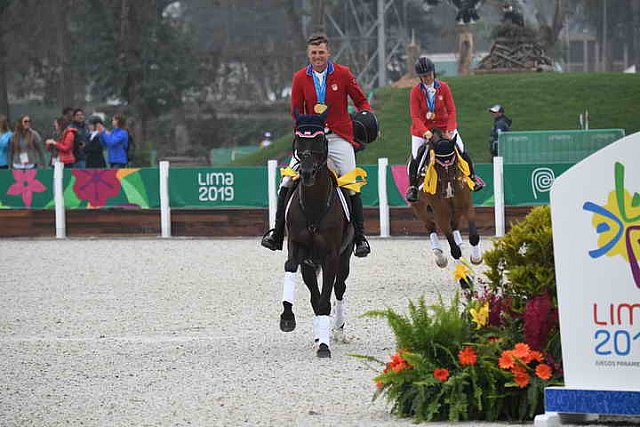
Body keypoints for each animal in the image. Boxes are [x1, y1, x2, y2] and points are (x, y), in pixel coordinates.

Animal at [280, 113, 356, 358]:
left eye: (320, 139)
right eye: (298, 139)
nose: (306, 173)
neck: (314, 206)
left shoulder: (331, 256)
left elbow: (325, 300)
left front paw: (324, 346)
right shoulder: (299, 250)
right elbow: (291, 268)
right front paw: (287, 318)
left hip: (344, 257)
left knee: (339, 289)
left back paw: (338, 331)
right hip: (310, 265)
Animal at [410, 134, 480, 268]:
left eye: (454, 164)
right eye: (437, 166)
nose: (448, 191)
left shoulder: (466, 205)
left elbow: (474, 236)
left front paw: (476, 258)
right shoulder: (441, 213)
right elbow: (454, 249)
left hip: (456, 210)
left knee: (454, 225)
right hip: (419, 208)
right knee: (430, 226)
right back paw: (439, 256)